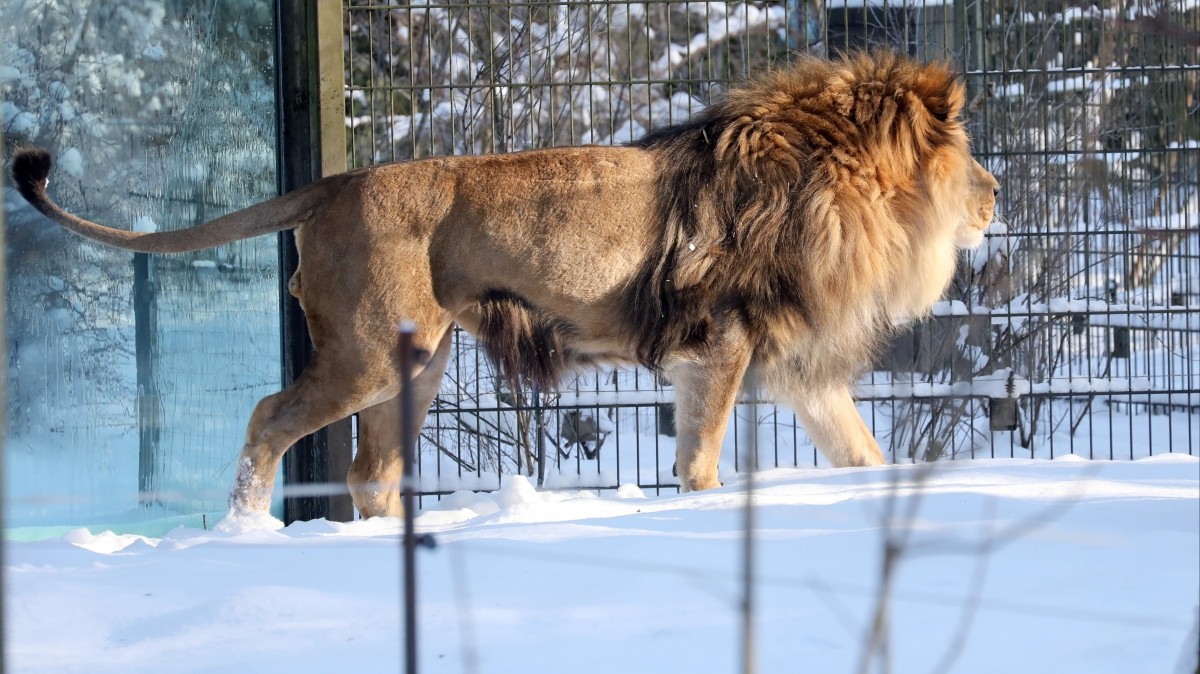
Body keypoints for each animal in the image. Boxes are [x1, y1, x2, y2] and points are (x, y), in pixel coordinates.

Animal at [9, 52, 998, 515]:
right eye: (969, 157)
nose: (996, 193)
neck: (833, 188)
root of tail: (337, 180)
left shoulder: (791, 369)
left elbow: (863, 454)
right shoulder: (717, 346)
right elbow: (701, 462)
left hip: (418, 365)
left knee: (371, 470)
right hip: (366, 358)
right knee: (267, 420)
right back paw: (244, 533)